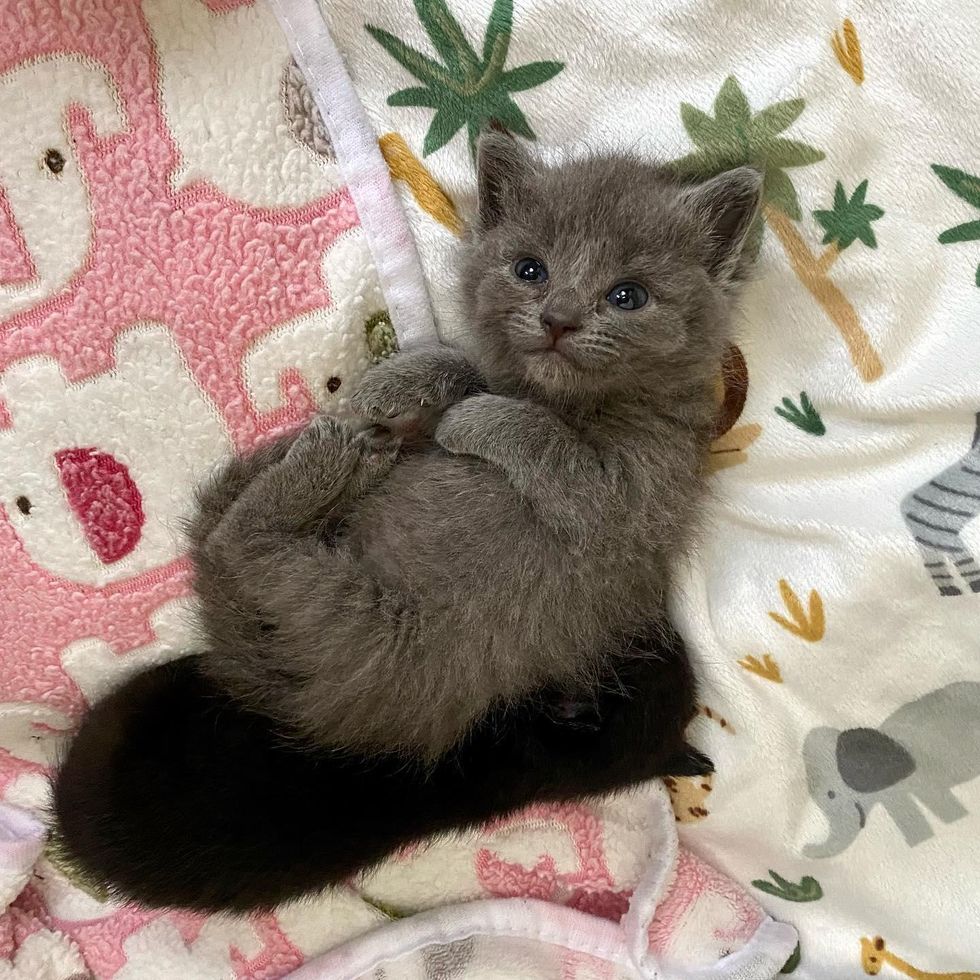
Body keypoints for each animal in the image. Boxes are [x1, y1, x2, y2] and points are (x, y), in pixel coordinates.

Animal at [195, 132, 760, 756]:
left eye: (628, 296)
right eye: (529, 269)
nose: (558, 319)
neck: (566, 399)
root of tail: (289, 695)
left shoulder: (630, 499)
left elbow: (548, 442)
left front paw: (469, 419)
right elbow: (469, 367)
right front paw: (395, 382)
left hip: (362, 621)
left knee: (239, 545)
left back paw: (334, 458)